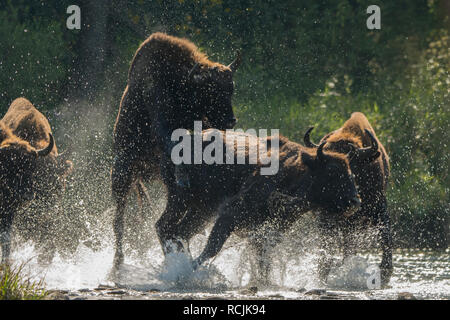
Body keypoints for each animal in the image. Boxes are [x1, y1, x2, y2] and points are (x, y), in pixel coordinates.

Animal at [110, 31, 241, 272]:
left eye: (231, 88)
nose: (231, 120)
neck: (179, 82)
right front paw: (182, 176)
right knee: (119, 220)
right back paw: (118, 260)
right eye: (209, 91)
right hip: (122, 173)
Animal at [155, 129, 362, 286]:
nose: (355, 202)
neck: (292, 173)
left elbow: (263, 257)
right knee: (165, 227)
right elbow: (213, 246)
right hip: (181, 200)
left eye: (350, 172)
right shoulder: (229, 215)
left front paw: (264, 281)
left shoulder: (267, 231)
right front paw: (191, 270)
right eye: (332, 172)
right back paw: (176, 268)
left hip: (201, 211)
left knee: (178, 231)